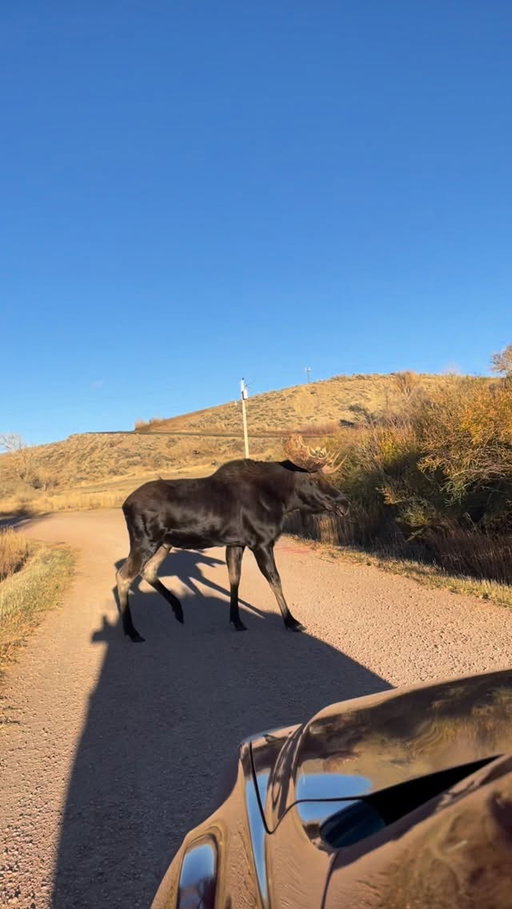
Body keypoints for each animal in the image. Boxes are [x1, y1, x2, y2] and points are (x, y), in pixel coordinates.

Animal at [115, 435, 348, 641]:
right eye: (313, 478)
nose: (344, 503)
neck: (280, 501)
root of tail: (125, 505)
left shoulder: (237, 544)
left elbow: (234, 579)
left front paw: (236, 620)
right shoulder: (262, 543)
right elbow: (275, 580)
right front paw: (291, 621)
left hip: (164, 544)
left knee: (148, 571)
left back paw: (177, 608)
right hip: (145, 542)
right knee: (124, 576)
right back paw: (132, 631)